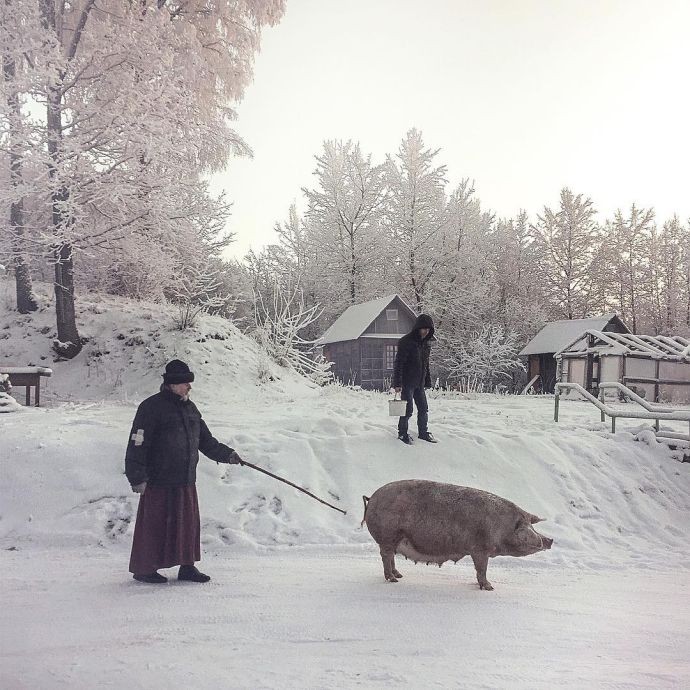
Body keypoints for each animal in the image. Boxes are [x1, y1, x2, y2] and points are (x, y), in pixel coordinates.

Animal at [360, 478, 552, 584]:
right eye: (529, 526)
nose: (550, 540)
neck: (501, 526)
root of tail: (372, 497)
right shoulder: (480, 549)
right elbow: (481, 570)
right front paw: (489, 587)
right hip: (387, 536)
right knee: (386, 557)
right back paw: (393, 579)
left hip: (392, 539)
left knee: (391, 557)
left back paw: (399, 575)